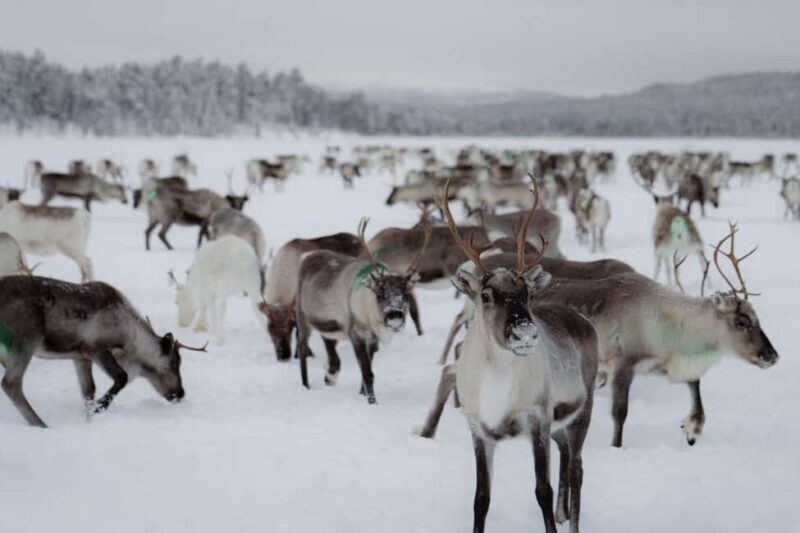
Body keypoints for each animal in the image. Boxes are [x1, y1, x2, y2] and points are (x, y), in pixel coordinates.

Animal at [0, 275, 205, 427]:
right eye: (174, 363)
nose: (180, 393)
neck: (132, 337)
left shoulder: (80, 356)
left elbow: (88, 390)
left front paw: (89, 417)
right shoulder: (96, 348)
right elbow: (121, 377)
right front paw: (99, 407)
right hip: (26, 338)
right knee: (11, 383)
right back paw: (41, 424)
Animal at [262, 232, 362, 361]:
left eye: (289, 327)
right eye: (270, 328)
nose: (283, 355)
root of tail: (357, 239)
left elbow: (299, 333)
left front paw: (301, 354)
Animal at [294, 217, 430, 404]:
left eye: (406, 295)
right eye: (380, 294)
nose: (394, 315)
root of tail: (307, 257)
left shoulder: (372, 338)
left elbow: (368, 370)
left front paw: (361, 394)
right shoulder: (356, 333)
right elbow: (367, 373)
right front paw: (372, 402)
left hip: (327, 326)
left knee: (329, 346)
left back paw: (329, 377)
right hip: (303, 319)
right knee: (301, 352)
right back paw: (305, 386)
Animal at [421, 179, 599, 533]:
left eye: (526, 293)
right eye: (486, 295)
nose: (525, 333)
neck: (497, 388)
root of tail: (583, 321)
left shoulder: (538, 420)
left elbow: (542, 490)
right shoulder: (479, 429)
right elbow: (481, 499)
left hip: (582, 411)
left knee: (577, 468)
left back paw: (570, 519)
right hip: (560, 425)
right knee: (565, 455)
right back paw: (563, 511)